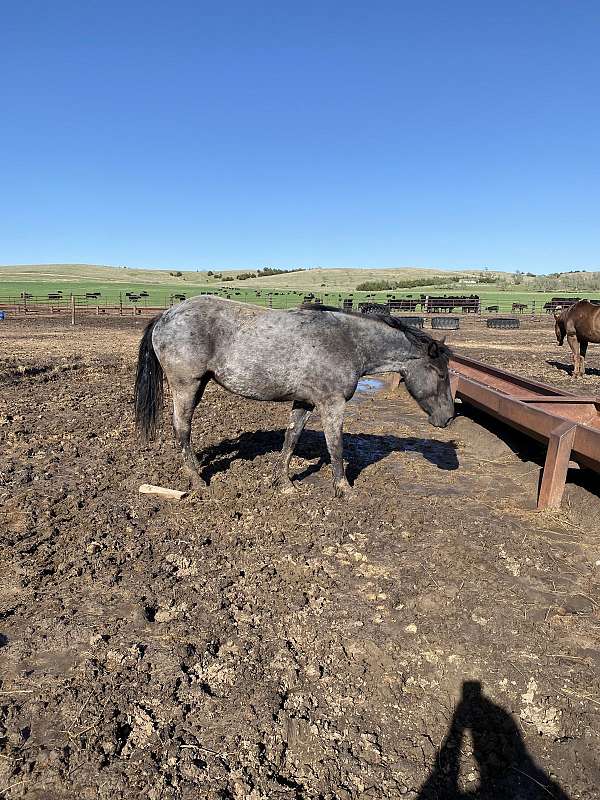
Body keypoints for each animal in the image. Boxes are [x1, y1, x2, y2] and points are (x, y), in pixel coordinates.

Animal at [135, 296, 454, 494]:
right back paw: (196, 478)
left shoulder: (305, 402)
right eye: (441, 374)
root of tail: (165, 315)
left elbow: (291, 438)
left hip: (199, 384)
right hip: (186, 385)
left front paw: (284, 482)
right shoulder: (332, 404)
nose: (449, 417)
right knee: (182, 428)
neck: (349, 342)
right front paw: (343, 489)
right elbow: (336, 446)